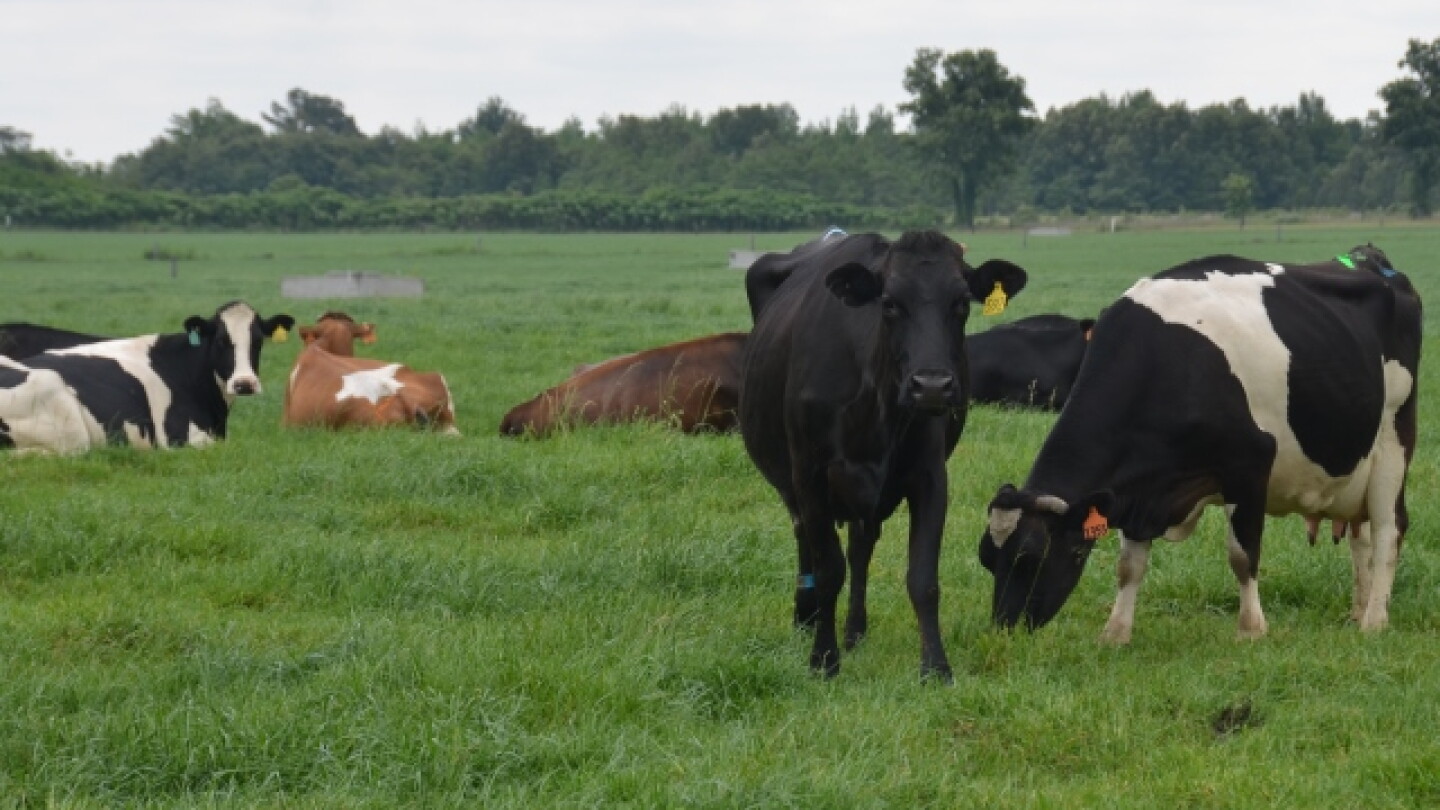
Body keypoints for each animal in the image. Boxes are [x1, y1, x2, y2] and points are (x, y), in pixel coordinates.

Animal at [741, 230, 1028, 680]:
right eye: (890, 302)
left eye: (962, 301)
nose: (932, 386)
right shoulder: (810, 474)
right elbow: (828, 568)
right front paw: (824, 659)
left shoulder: (930, 477)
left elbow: (922, 578)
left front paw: (936, 666)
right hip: (793, 483)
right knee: (807, 538)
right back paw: (806, 618)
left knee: (861, 550)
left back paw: (855, 630)